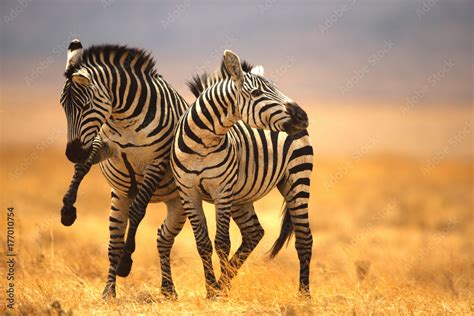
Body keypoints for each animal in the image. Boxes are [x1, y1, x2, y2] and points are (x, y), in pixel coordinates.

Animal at [59, 39, 191, 298]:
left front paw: (126, 262)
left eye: (85, 106)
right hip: (118, 197)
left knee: (164, 239)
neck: (123, 119)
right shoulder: (104, 145)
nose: (72, 153)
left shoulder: (156, 163)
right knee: (115, 244)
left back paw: (168, 289)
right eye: (63, 106)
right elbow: (83, 167)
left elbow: (138, 210)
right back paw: (109, 292)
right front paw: (67, 208)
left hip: (179, 204)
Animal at [171, 50, 314, 298]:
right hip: (241, 196)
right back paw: (226, 282)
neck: (203, 144)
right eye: (256, 93)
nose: (302, 117)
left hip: (297, 177)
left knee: (304, 238)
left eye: (276, 88)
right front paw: (212, 290)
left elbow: (221, 242)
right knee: (254, 233)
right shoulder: (188, 191)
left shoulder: (222, 190)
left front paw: (217, 293)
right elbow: (203, 243)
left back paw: (304, 295)